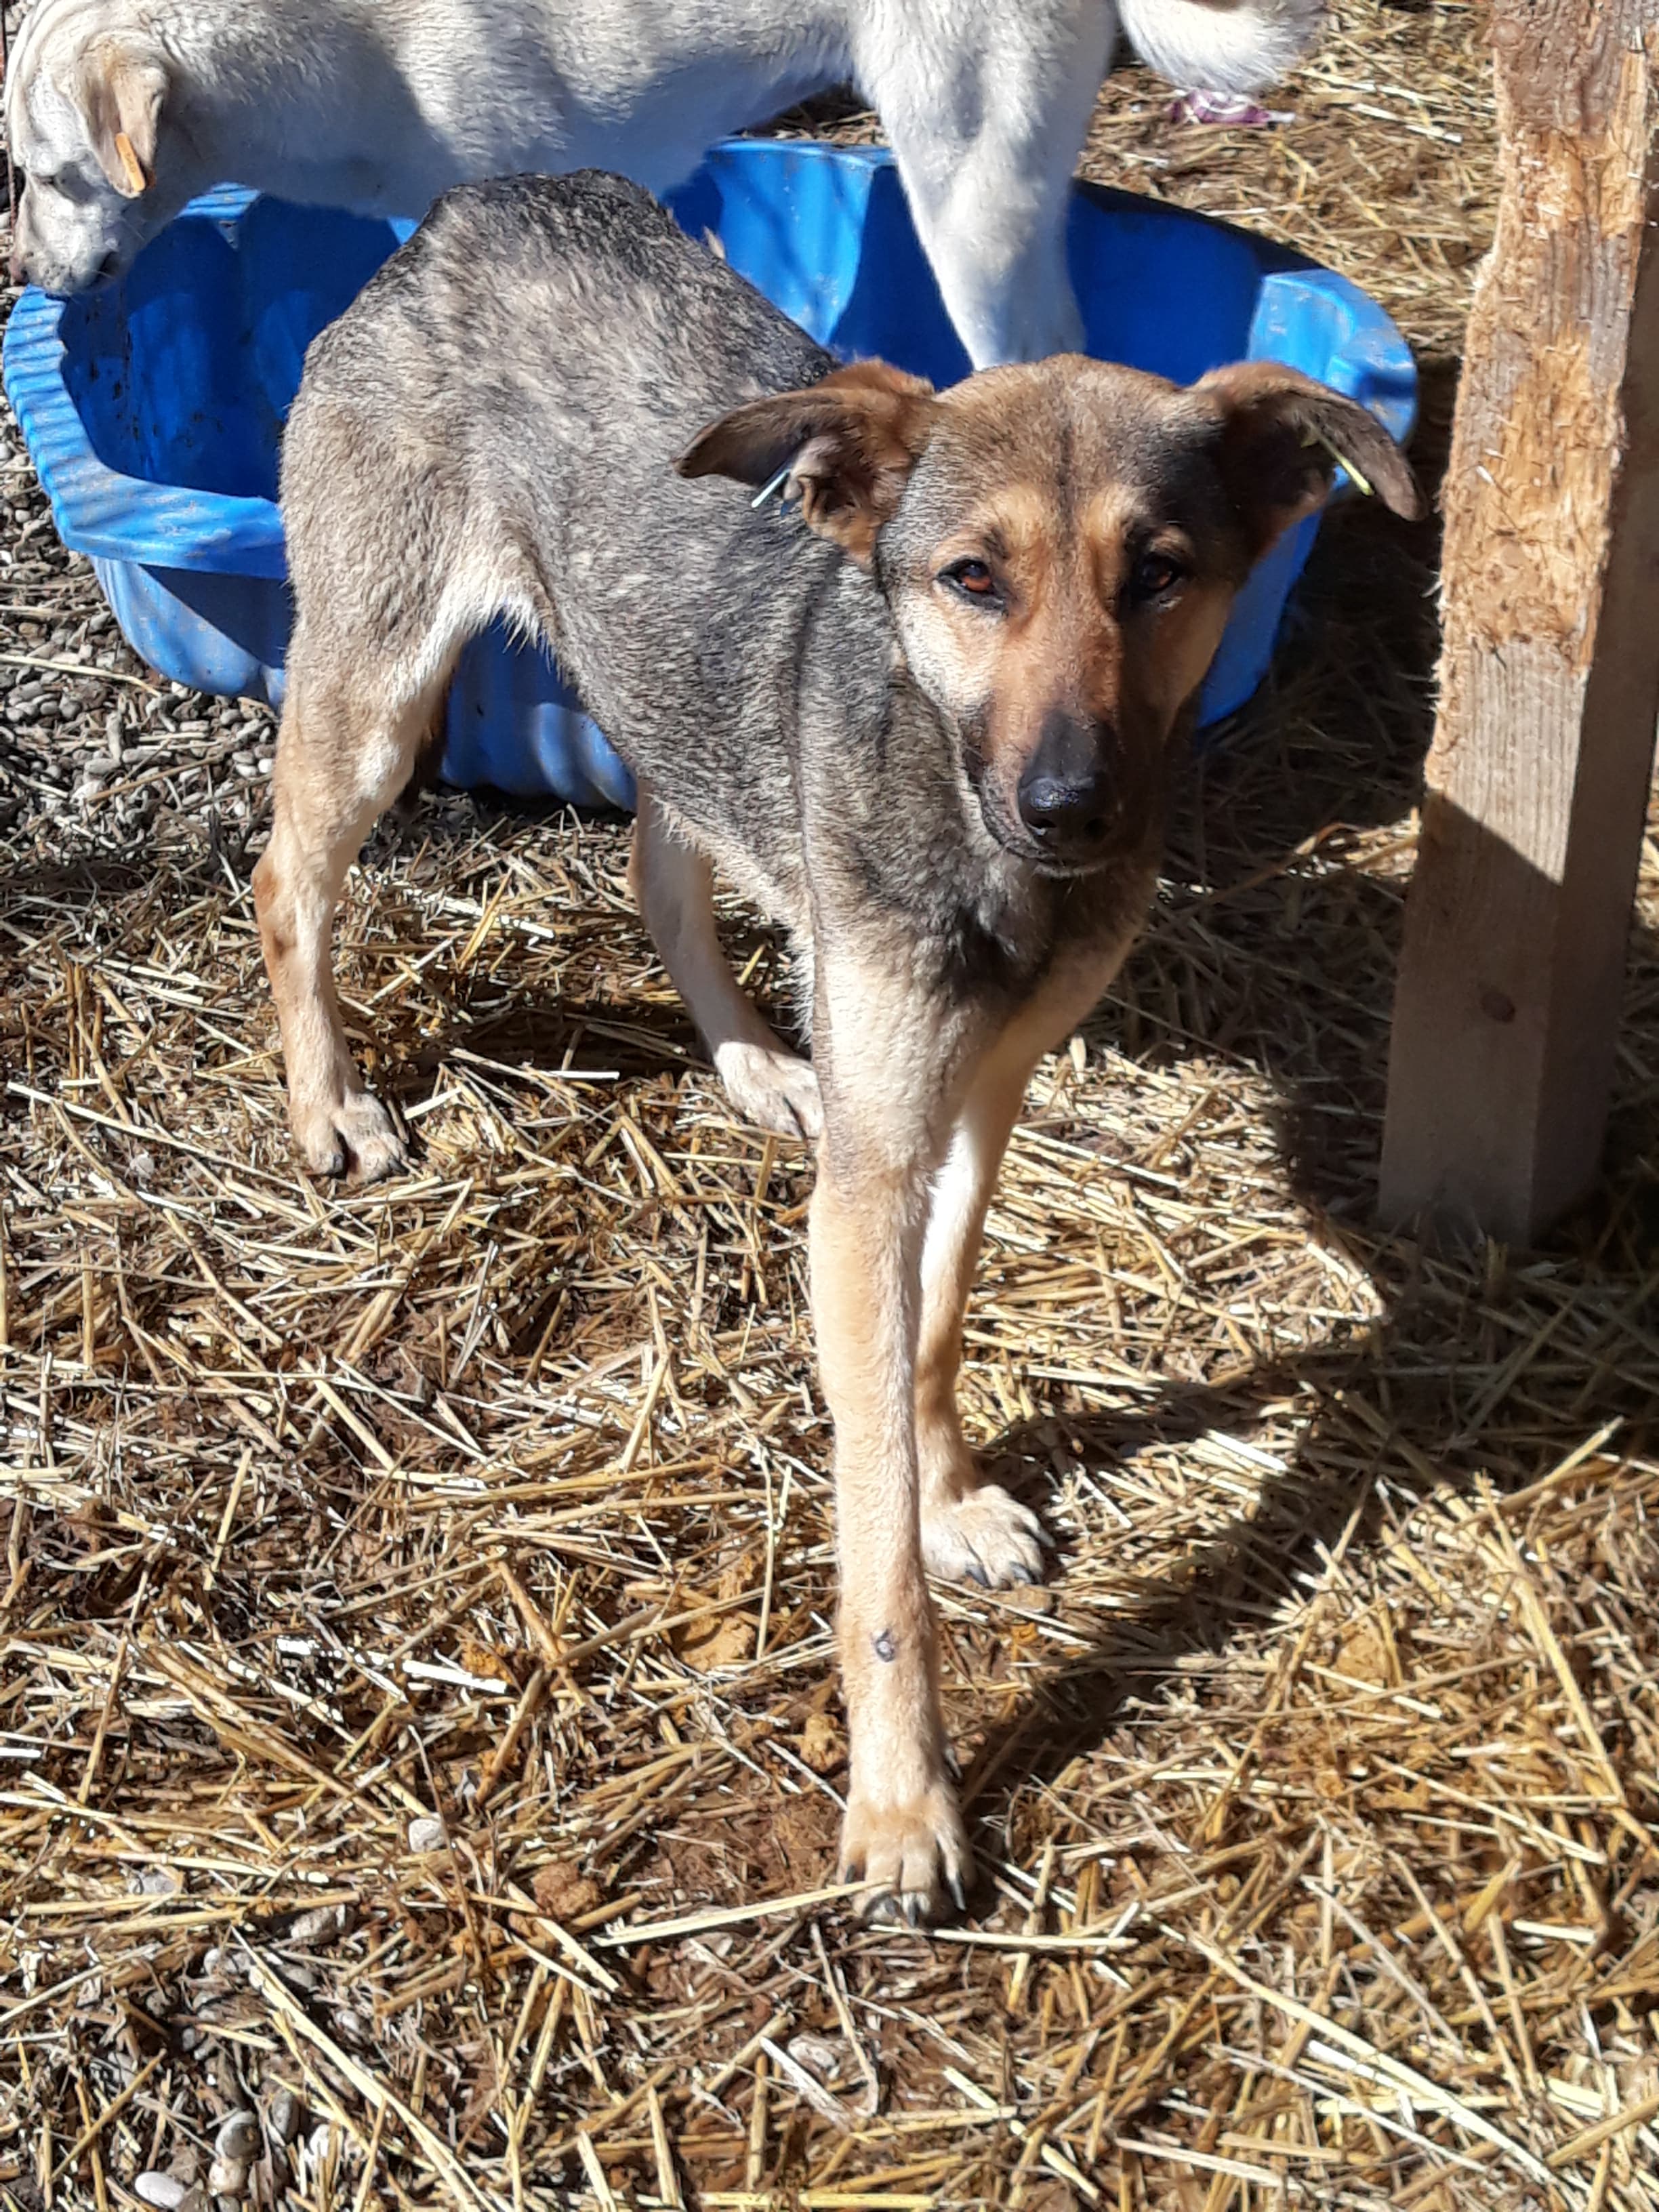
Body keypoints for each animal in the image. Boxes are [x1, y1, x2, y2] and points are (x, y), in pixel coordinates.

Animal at [252, 171, 1417, 1917]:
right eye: (972, 579)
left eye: (1157, 572)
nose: (1071, 808)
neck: (972, 832)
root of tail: (478, 206)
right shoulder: (870, 1186)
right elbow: (870, 1553)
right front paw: (901, 1802)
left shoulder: (975, 1107)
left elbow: (934, 1336)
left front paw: (956, 1497)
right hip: (378, 694)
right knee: (289, 877)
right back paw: (327, 1098)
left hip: (672, 724)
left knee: (660, 864)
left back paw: (749, 1064)